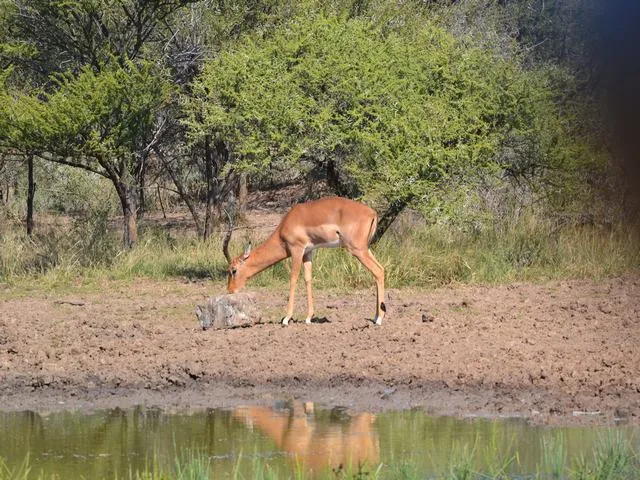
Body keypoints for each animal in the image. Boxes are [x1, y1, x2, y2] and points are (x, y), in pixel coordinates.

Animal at [226, 196, 385, 325]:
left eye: (233, 270)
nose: (230, 291)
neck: (286, 225)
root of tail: (372, 213)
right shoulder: (308, 252)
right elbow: (308, 279)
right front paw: (308, 318)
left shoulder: (297, 250)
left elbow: (293, 279)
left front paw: (286, 319)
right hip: (366, 249)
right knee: (381, 270)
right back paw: (375, 316)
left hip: (357, 250)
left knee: (377, 271)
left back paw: (379, 319)